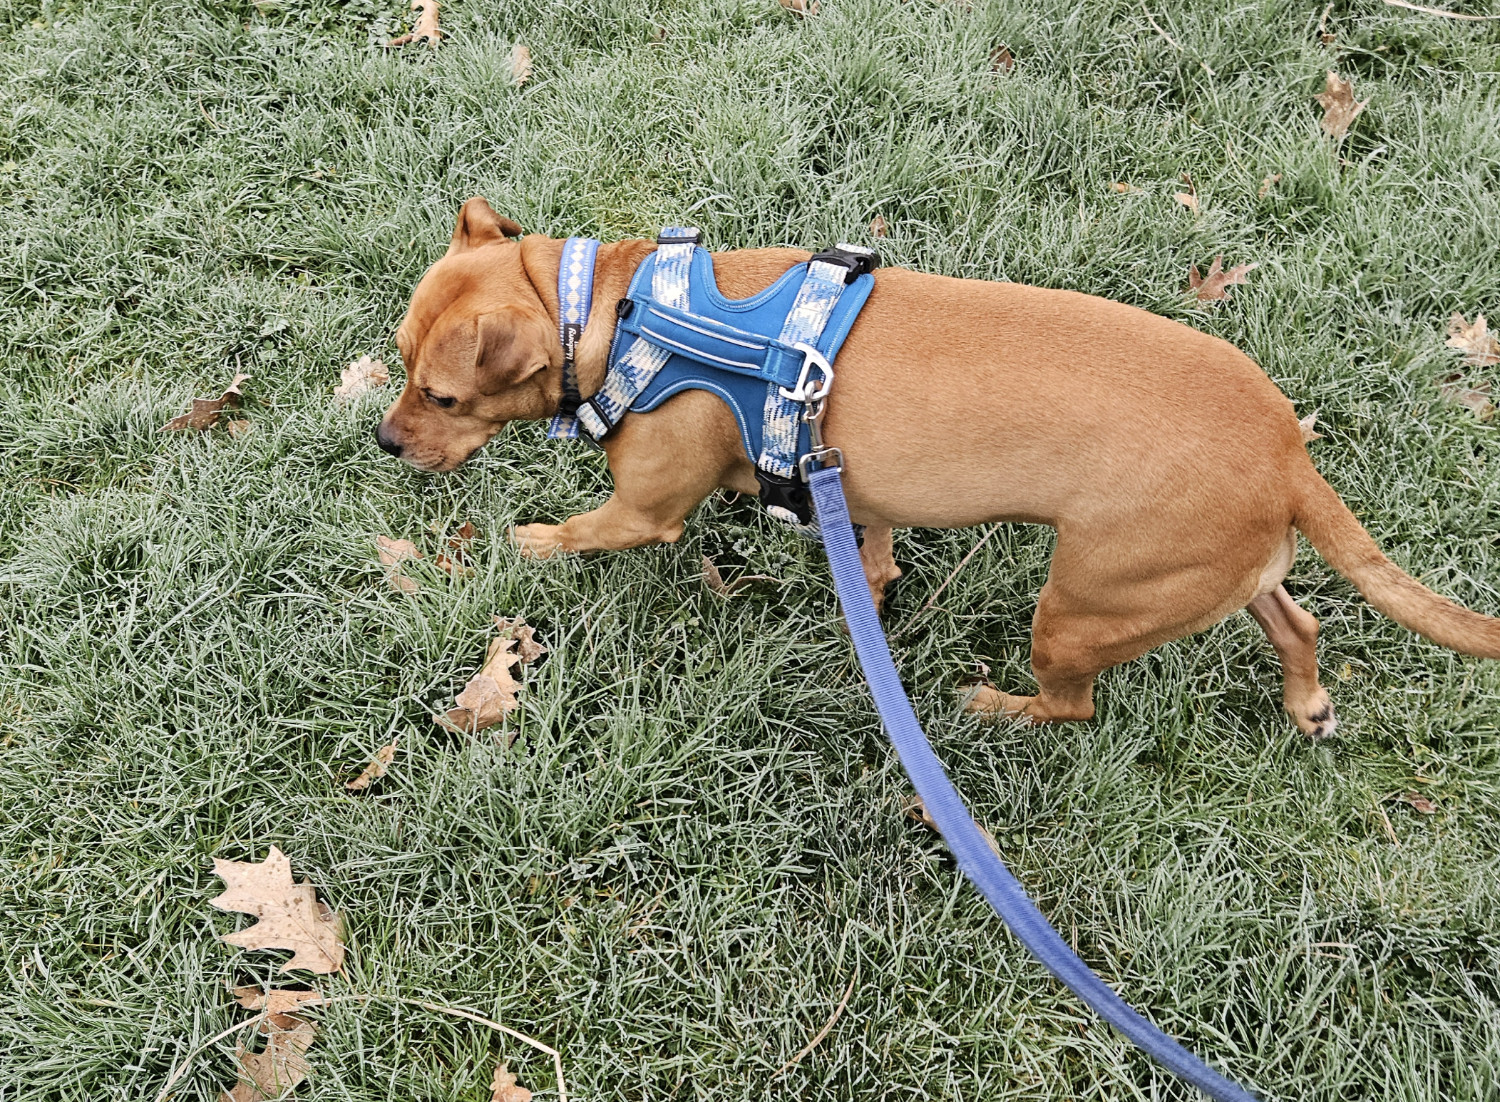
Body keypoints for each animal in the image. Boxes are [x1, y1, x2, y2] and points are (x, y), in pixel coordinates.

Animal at [378, 199, 1500, 737]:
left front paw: (527, 542)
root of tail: (1285, 449)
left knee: (1072, 706)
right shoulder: (848, 489)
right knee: (1296, 620)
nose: (386, 442)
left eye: (442, 397)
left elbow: (581, 530)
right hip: (1207, 577)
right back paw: (1307, 700)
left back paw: (1000, 708)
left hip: (1080, 609)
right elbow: (870, 554)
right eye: (398, 362)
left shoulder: (644, 509)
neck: (610, 311)